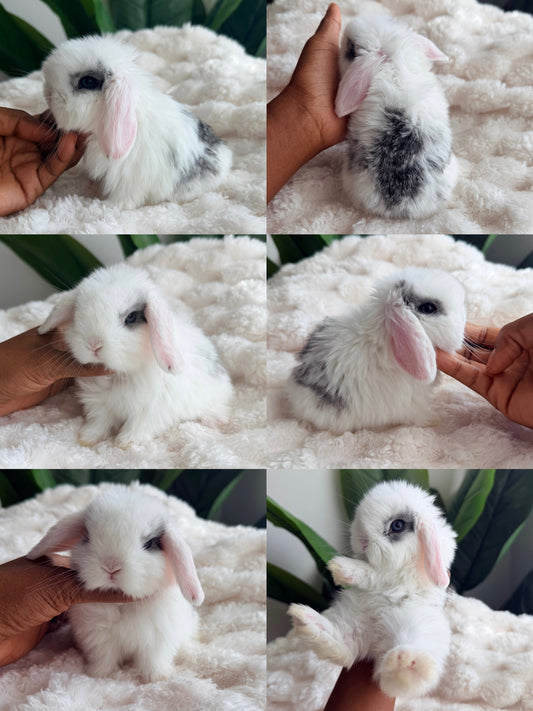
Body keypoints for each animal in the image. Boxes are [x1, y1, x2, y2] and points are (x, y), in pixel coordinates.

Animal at [27, 487, 204, 681]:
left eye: (150, 543)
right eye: (87, 537)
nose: (111, 566)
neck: (121, 604)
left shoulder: (157, 640)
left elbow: (153, 660)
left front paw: (156, 678)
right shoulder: (99, 638)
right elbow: (104, 657)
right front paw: (98, 674)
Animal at [38, 263, 234, 447]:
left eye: (131, 317)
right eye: (78, 313)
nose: (93, 345)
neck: (121, 374)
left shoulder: (151, 409)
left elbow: (139, 426)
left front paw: (126, 442)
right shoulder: (101, 404)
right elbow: (100, 422)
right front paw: (87, 438)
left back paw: (214, 421)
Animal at [41, 35, 232, 208]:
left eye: (87, 81)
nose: (47, 93)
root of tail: (225, 157)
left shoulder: (130, 177)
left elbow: (126, 198)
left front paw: (107, 205)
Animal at [286, 267, 465, 433]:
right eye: (428, 308)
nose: (464, 317)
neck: (386, 338)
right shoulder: (412, 404)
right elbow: (420, 417)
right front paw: (436, 420)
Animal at [289, 480, 457, 698]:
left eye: (397, 525)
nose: (362, 541)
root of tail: (375, 641)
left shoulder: (393, 577)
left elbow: (371, 574)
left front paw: (339, 567)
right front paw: (338, 568)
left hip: (415, 624)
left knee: (399, 680)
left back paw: (407, 663)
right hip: (352, 621)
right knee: (345, 651)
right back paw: (304, 618)